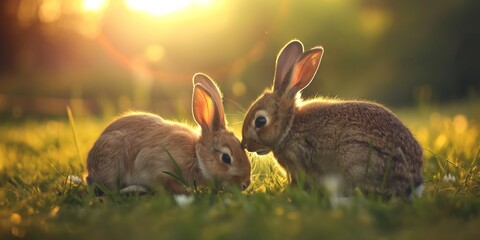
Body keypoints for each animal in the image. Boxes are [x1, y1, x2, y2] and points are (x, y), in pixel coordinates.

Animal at [242, 39, 422, 197]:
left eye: (260, 121)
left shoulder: (298, 161)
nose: (244, 144)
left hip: (354, 159)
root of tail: (413, 182)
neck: (290, 126)